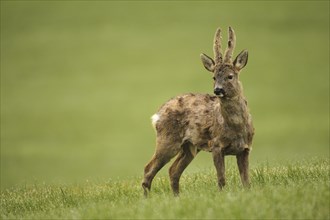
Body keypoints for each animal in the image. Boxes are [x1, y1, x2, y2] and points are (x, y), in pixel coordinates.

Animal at [142, 26, 255, 196]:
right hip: (167, 140)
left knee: (173, 171)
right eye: (214, 77)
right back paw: (147, 199)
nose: (218, 90)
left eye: (230, 76)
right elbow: (221, 179)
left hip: (189, 147)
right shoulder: (216, 145)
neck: (236, 127)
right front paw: (222, 196)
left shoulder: (245, 148)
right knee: (148, 169)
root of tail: (157, 115)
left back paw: (177, 198)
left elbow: (246, 181)